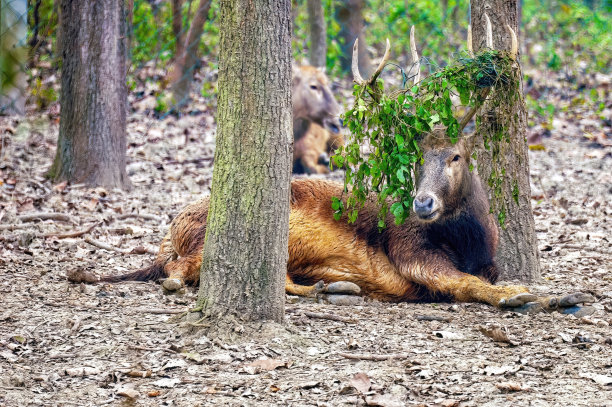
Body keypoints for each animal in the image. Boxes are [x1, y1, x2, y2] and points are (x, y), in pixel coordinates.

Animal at [70, 18, 588, 312]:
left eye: (455, 155)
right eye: (415, 158)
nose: (421, 203)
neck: (471, 238)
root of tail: (171, 232)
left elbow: (492, 278)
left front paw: (561, 291)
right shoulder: (413, 254)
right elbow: (468, 286)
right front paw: (537, 296)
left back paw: (332, 286)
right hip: (234, 237)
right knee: (181, 272)